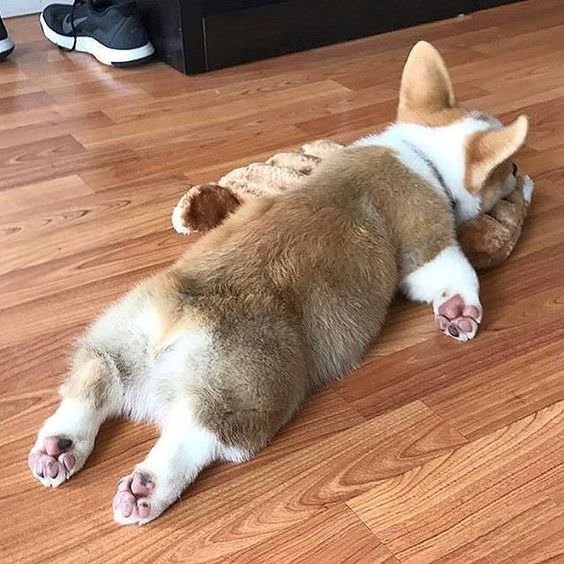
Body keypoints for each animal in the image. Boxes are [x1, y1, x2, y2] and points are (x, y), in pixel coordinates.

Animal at [27, 43, 528, 524]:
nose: (523, 175)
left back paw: (59, 447)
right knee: (198, 433)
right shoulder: (428, 245)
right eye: (509, 167)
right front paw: (461, 314)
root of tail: (180, 317)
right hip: (252, 388)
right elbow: (456, 273)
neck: (421, 151)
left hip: (122, 337)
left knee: (95, 380)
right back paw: (146, 489)